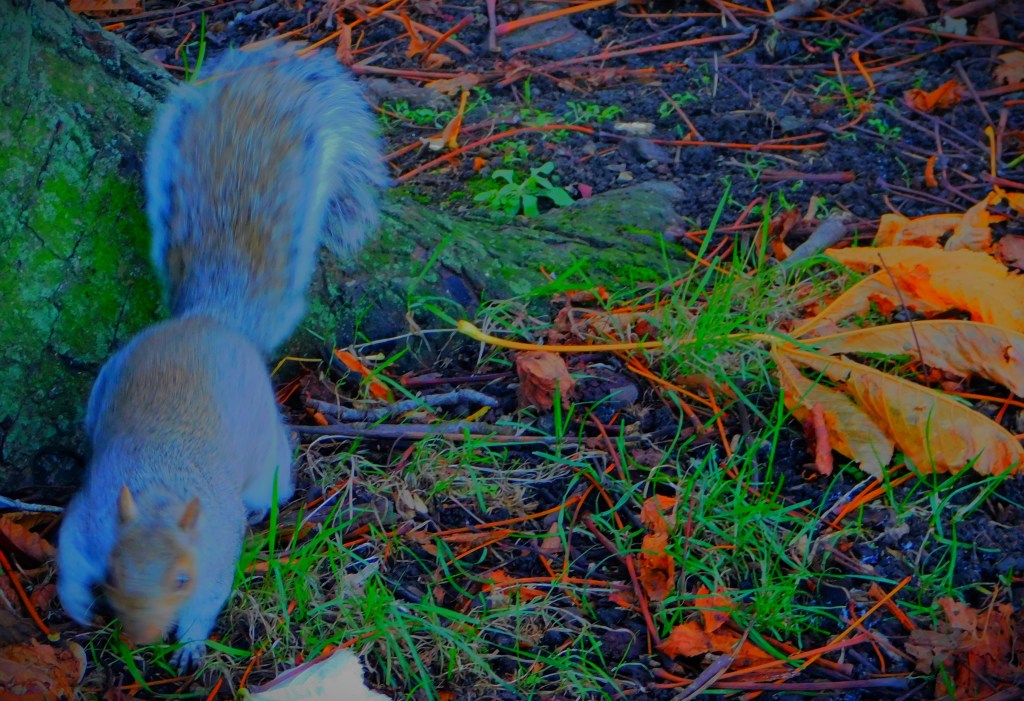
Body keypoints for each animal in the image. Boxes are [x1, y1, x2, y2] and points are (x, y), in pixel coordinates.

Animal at [56, 44, 385, 670]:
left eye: (182, 579)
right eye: (115, 571)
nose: (141, 638)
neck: (160, 491)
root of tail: (212, 321)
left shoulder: (214, 556)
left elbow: (211, 599)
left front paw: (189, 645)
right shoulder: (90, 522)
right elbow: (67, 552)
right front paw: (77, 604)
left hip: (264, 460)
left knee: (277, 477)